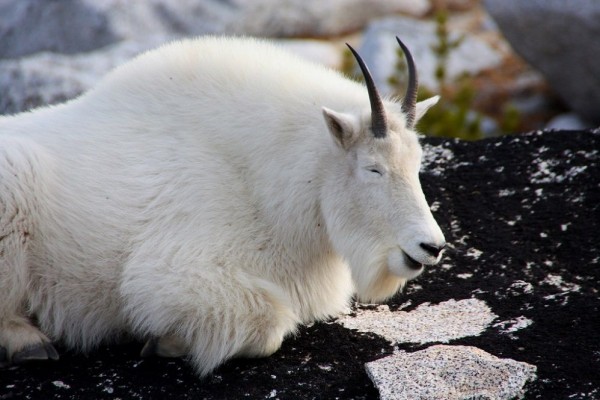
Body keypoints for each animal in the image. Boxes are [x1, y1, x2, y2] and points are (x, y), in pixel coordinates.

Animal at [0, 35, 442, 376]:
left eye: (417, 163)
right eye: (373, 168)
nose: (431, 247)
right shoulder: (173, 272)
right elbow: (268, 328)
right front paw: (164, 341)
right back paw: (29, 344)